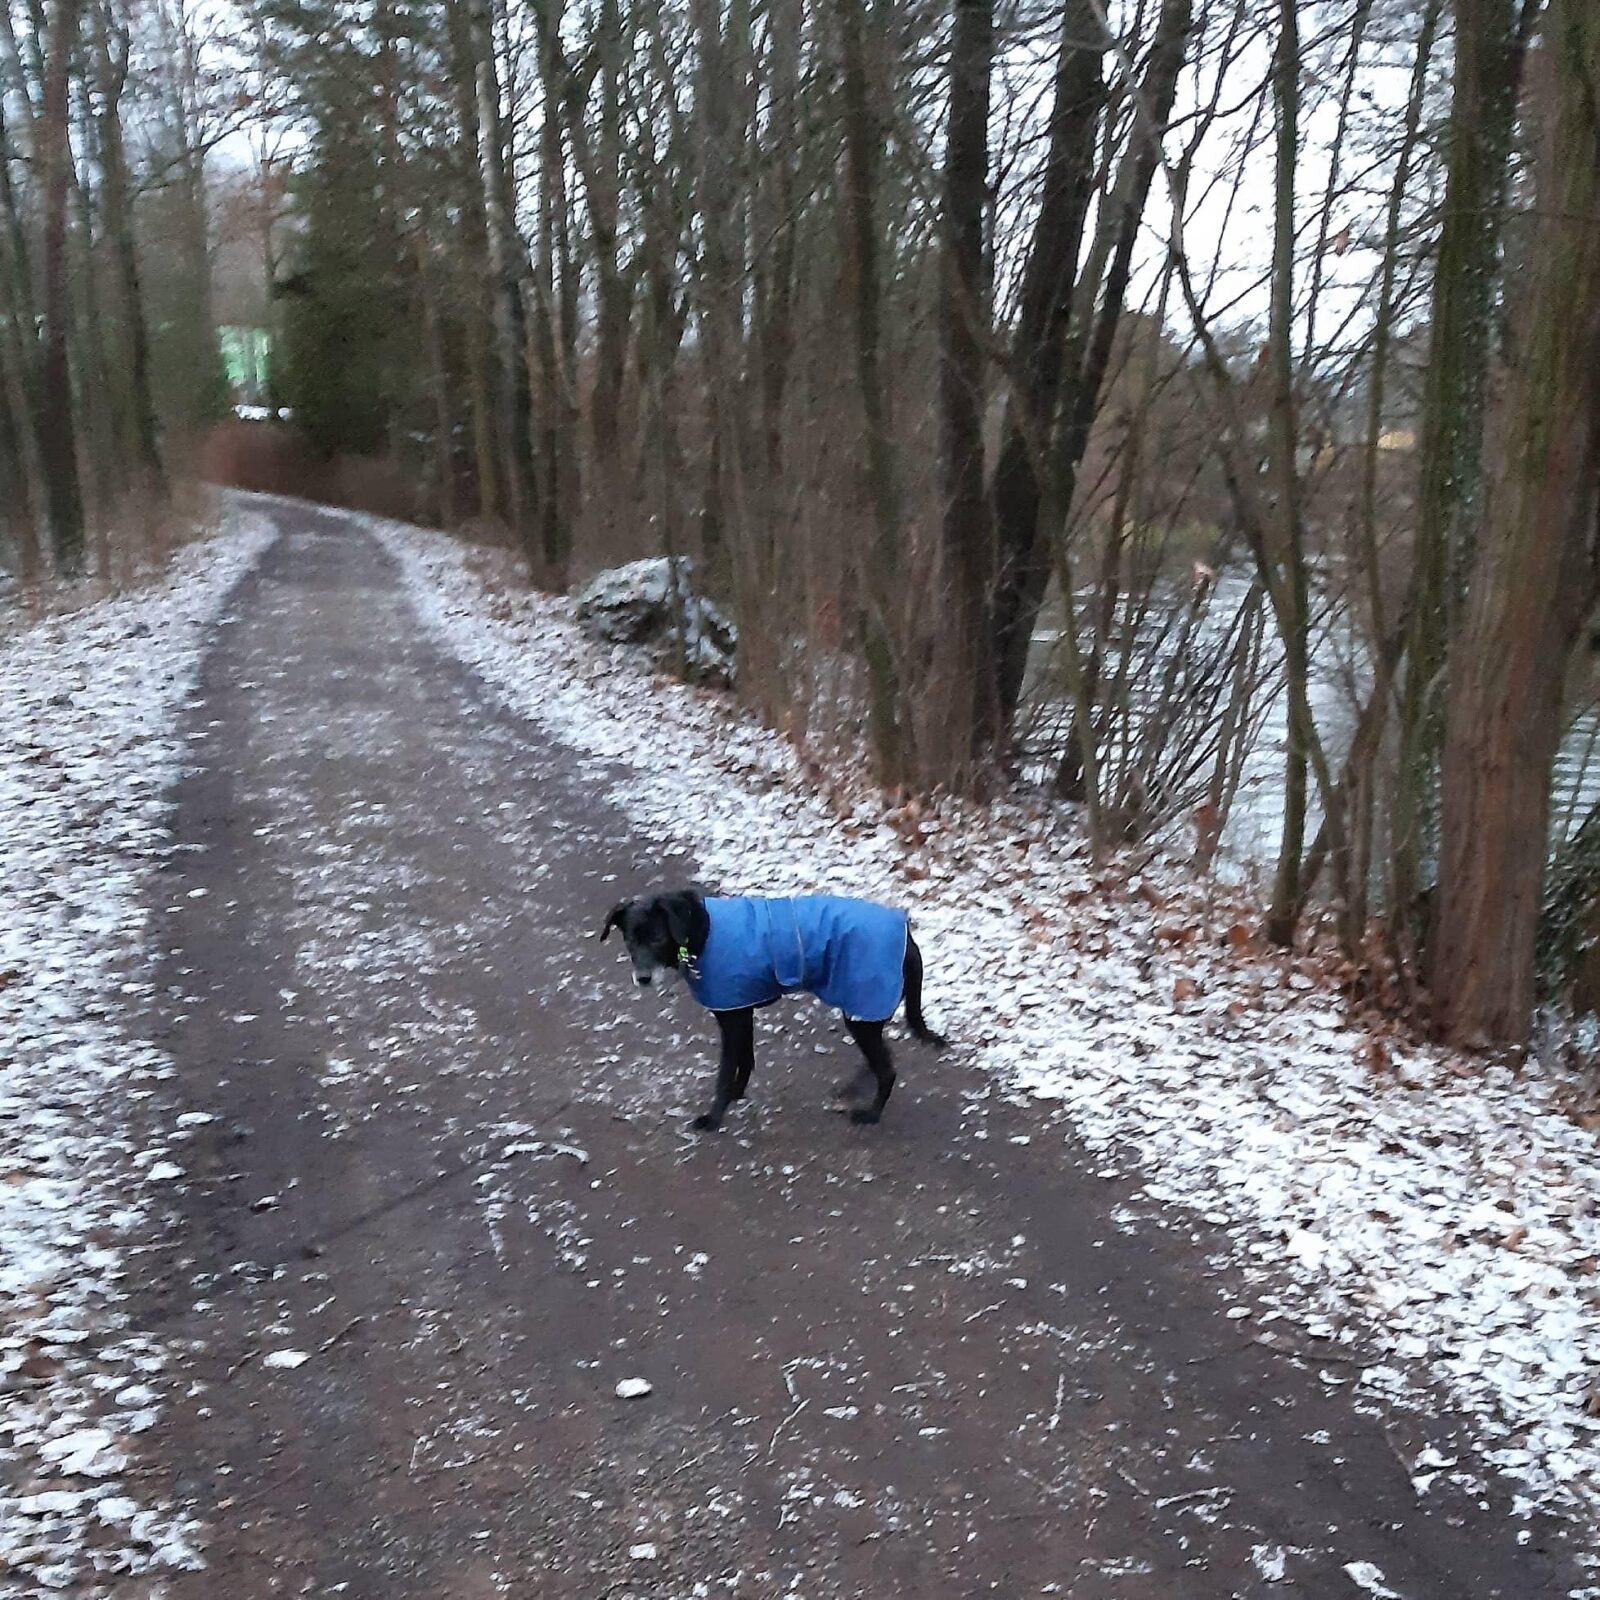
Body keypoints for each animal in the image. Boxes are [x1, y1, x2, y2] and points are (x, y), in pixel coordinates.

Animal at [599, 888, 944, 1131]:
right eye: (630, 940)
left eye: (658, 937)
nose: (642, 978)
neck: (700, 929)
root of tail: (909, 939)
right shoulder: (740, 1011)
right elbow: (745, 1059)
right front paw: (737, 1095)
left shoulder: (732, 1019)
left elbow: (725, 1071)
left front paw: (713, 1118)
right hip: (865, 1011)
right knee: (880, 1057)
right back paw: (853, 1089)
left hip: (862, 1010)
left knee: (886, 1069)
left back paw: (871, 1114)